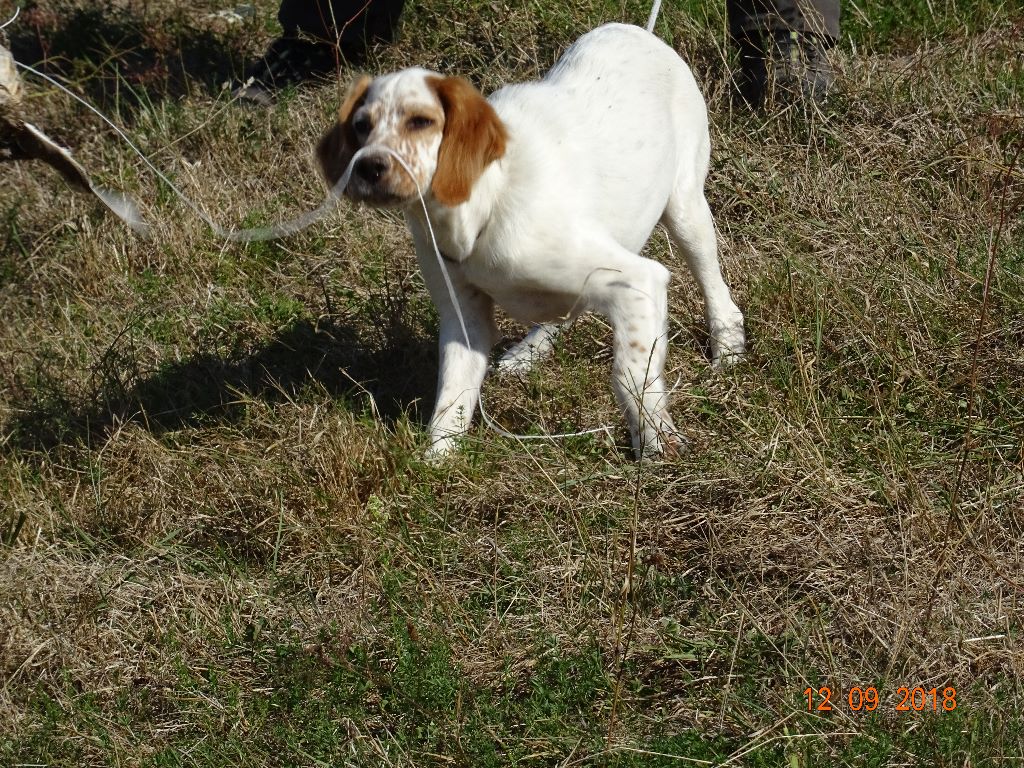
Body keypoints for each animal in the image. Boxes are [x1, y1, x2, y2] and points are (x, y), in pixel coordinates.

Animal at [319, 22, 745, 456]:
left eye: (420, 122)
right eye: (361, 126)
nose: (368, 167)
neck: (483, 205)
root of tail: (636, 28)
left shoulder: (640, 280)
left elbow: (629, 373)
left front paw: (656, 441)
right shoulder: (464, 318)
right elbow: (450, 404)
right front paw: (434, 463)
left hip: (685, 209)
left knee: (715, 288)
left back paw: (727, 346)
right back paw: (529, 351)